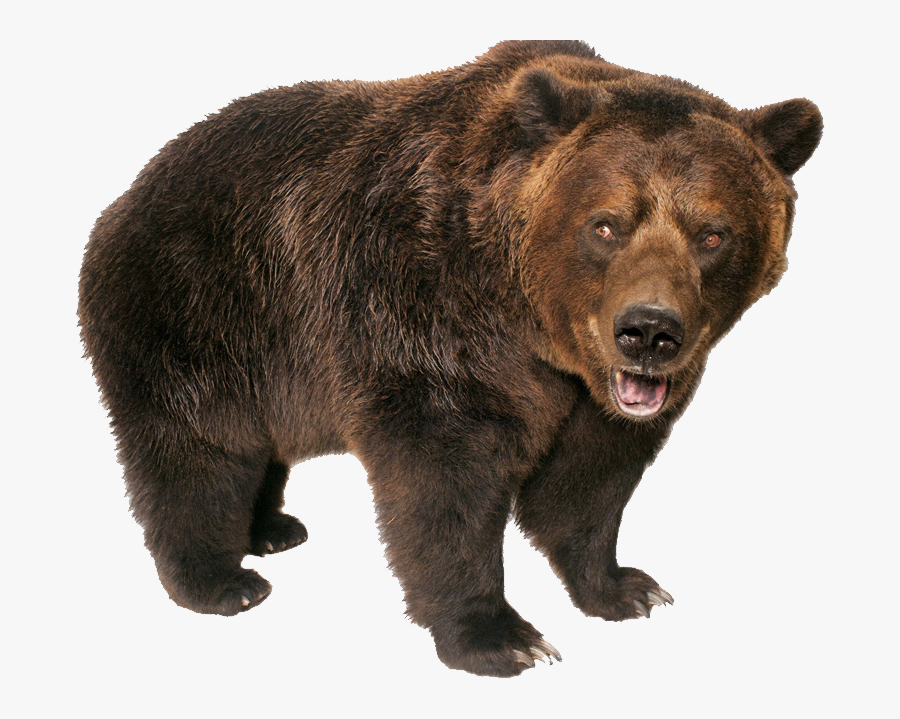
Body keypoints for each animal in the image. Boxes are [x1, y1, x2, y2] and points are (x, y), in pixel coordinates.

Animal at [78, 40, 822, 677]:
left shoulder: (595, 394)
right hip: (199, 310)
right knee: (199, 450)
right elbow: (446, 481)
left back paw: (272, 528)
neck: (534, 323)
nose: (648, 331)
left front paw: (625, 586)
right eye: (607, 224)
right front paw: (500, 636)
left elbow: (590, 478)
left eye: (713, 234)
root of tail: (129, 190)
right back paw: (221, 578)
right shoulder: (423, 311)